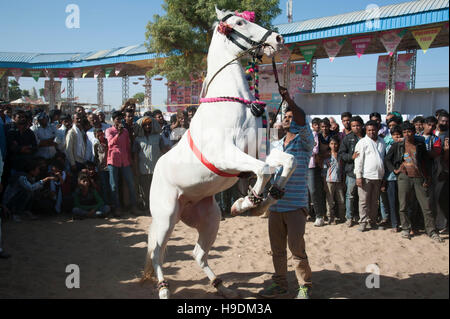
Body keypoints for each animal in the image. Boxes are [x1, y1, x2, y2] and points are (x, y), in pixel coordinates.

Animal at [144, 7, 298, 300]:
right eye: (239, 22)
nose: (278, 38)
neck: (232, 102)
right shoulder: (225, 154)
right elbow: (264, 170)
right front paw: (248, 202)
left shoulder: (257, 151)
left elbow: (286, 162)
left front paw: (266, 199)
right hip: (166, 217)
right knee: (157, 253)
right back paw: (164, 289)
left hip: (210, 219)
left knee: (198, 254)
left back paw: (222, 287)